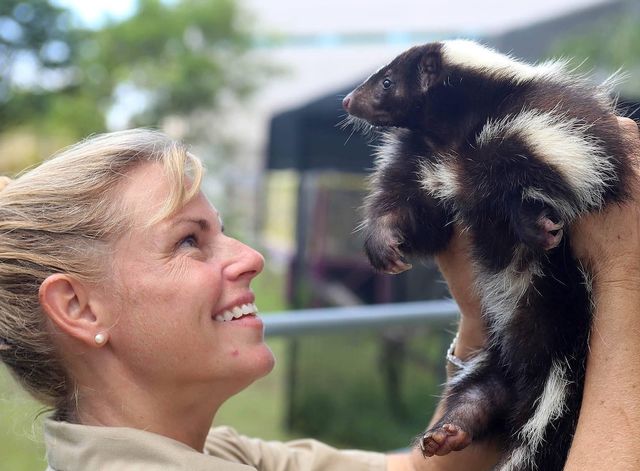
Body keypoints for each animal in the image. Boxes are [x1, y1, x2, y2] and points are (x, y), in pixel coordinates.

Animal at [342, 40, 632, 471]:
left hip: (562, 337)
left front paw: (532, 222)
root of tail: (535, 375)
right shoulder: (420, 164)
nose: (348, 100)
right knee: (478, 394)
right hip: (496, 364)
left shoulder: (549, 124)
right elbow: (411, 212)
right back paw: (448, 432)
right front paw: (384, 243)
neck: (451, 138)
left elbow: (556, 168)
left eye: (387, 82)